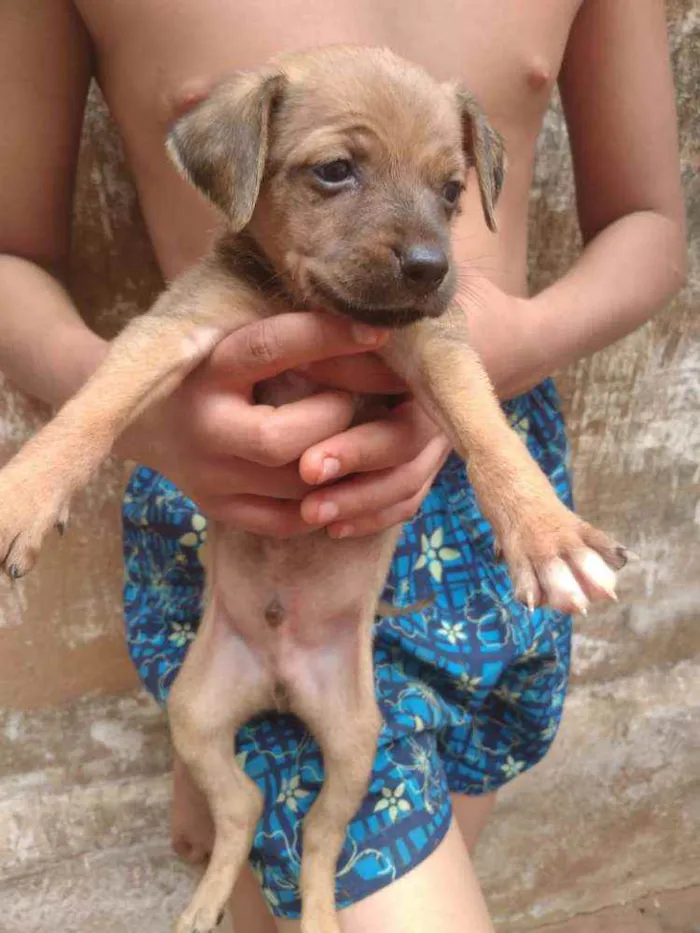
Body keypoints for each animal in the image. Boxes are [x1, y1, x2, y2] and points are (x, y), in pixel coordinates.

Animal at [0, 45, 628, 932]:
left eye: (452, 191)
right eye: (335, 171)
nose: (431, 266)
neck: (302, 302)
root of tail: (280, 682)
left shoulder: (430, 345)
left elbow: (483, 425)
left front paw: (549, 532)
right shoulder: (176, 326)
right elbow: (96, 402)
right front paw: (24, 492)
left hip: (358, 745)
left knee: (321, 840)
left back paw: (321, 914)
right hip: (195, 713)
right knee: (248, 804)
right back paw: (205, 902)